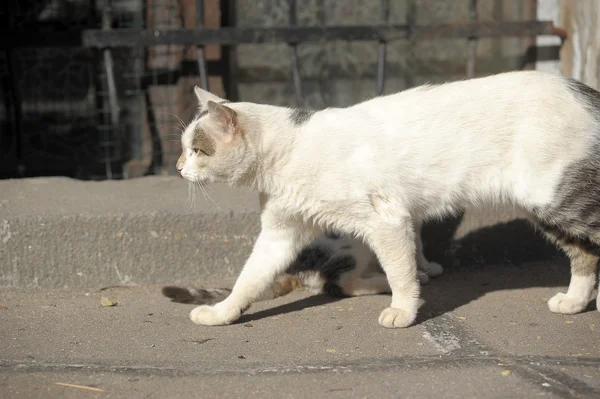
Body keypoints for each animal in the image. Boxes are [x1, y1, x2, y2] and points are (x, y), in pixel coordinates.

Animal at [164, 233, 446, 304]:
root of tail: (291, 269)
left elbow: (416, 240)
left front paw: (425, 264)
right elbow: (412, 243)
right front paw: (421, 268)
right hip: (353, 242)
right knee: (337, 283)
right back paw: (390, 281)